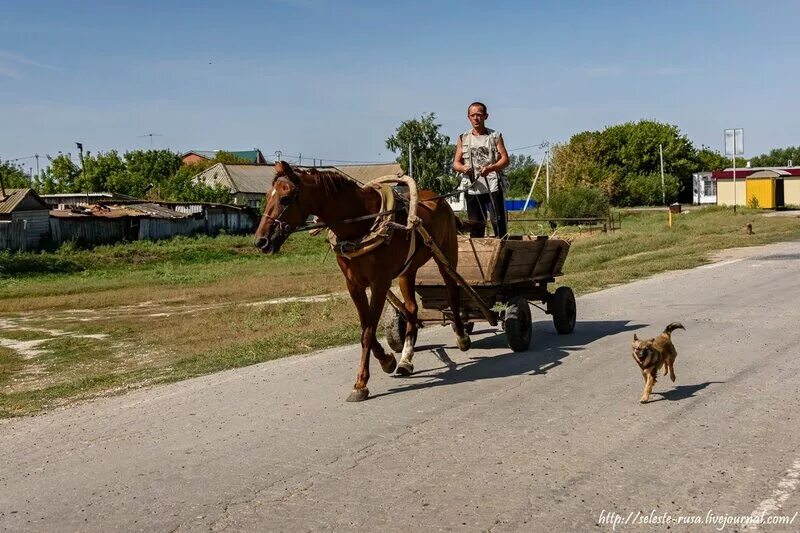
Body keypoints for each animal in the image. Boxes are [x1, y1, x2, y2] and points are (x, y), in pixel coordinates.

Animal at [255, 160, 468, 402]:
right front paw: (388, 361)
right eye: (267, 196)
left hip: (446, 256)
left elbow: (367, 332)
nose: (261, 241)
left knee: (452, 291)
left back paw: (462, 336)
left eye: (285, 198)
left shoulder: (379, 283)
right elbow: (366, 328)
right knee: (412, 308)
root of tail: (438, 198)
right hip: (407, 270)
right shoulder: (354, 285)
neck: (361, 222)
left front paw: (361, 384)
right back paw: (406, 359)